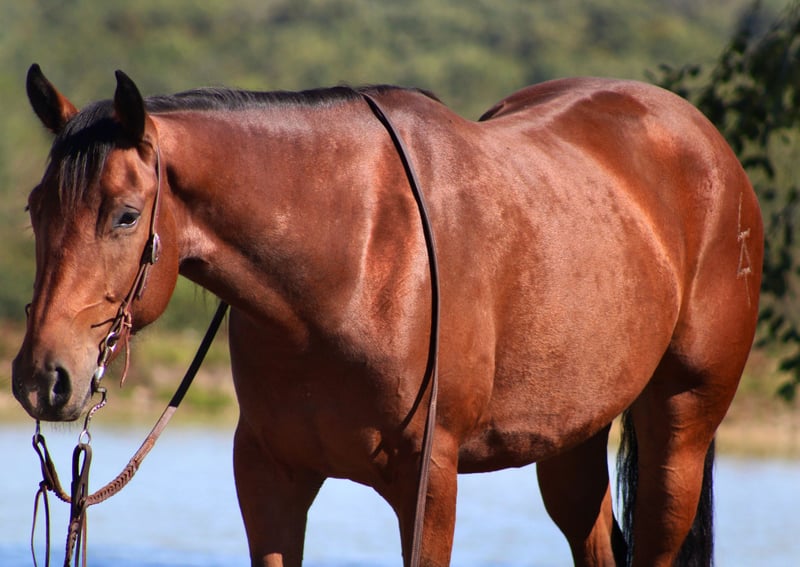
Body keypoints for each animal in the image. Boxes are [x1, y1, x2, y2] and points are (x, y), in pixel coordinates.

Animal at [12, 63, 762, 567]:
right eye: (34, 206)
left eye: (125, 215)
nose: (43, 377)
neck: (356, 256)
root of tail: (706, 146)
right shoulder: (268, 473)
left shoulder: (428, 483)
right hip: (570, 438)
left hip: (680, 426)